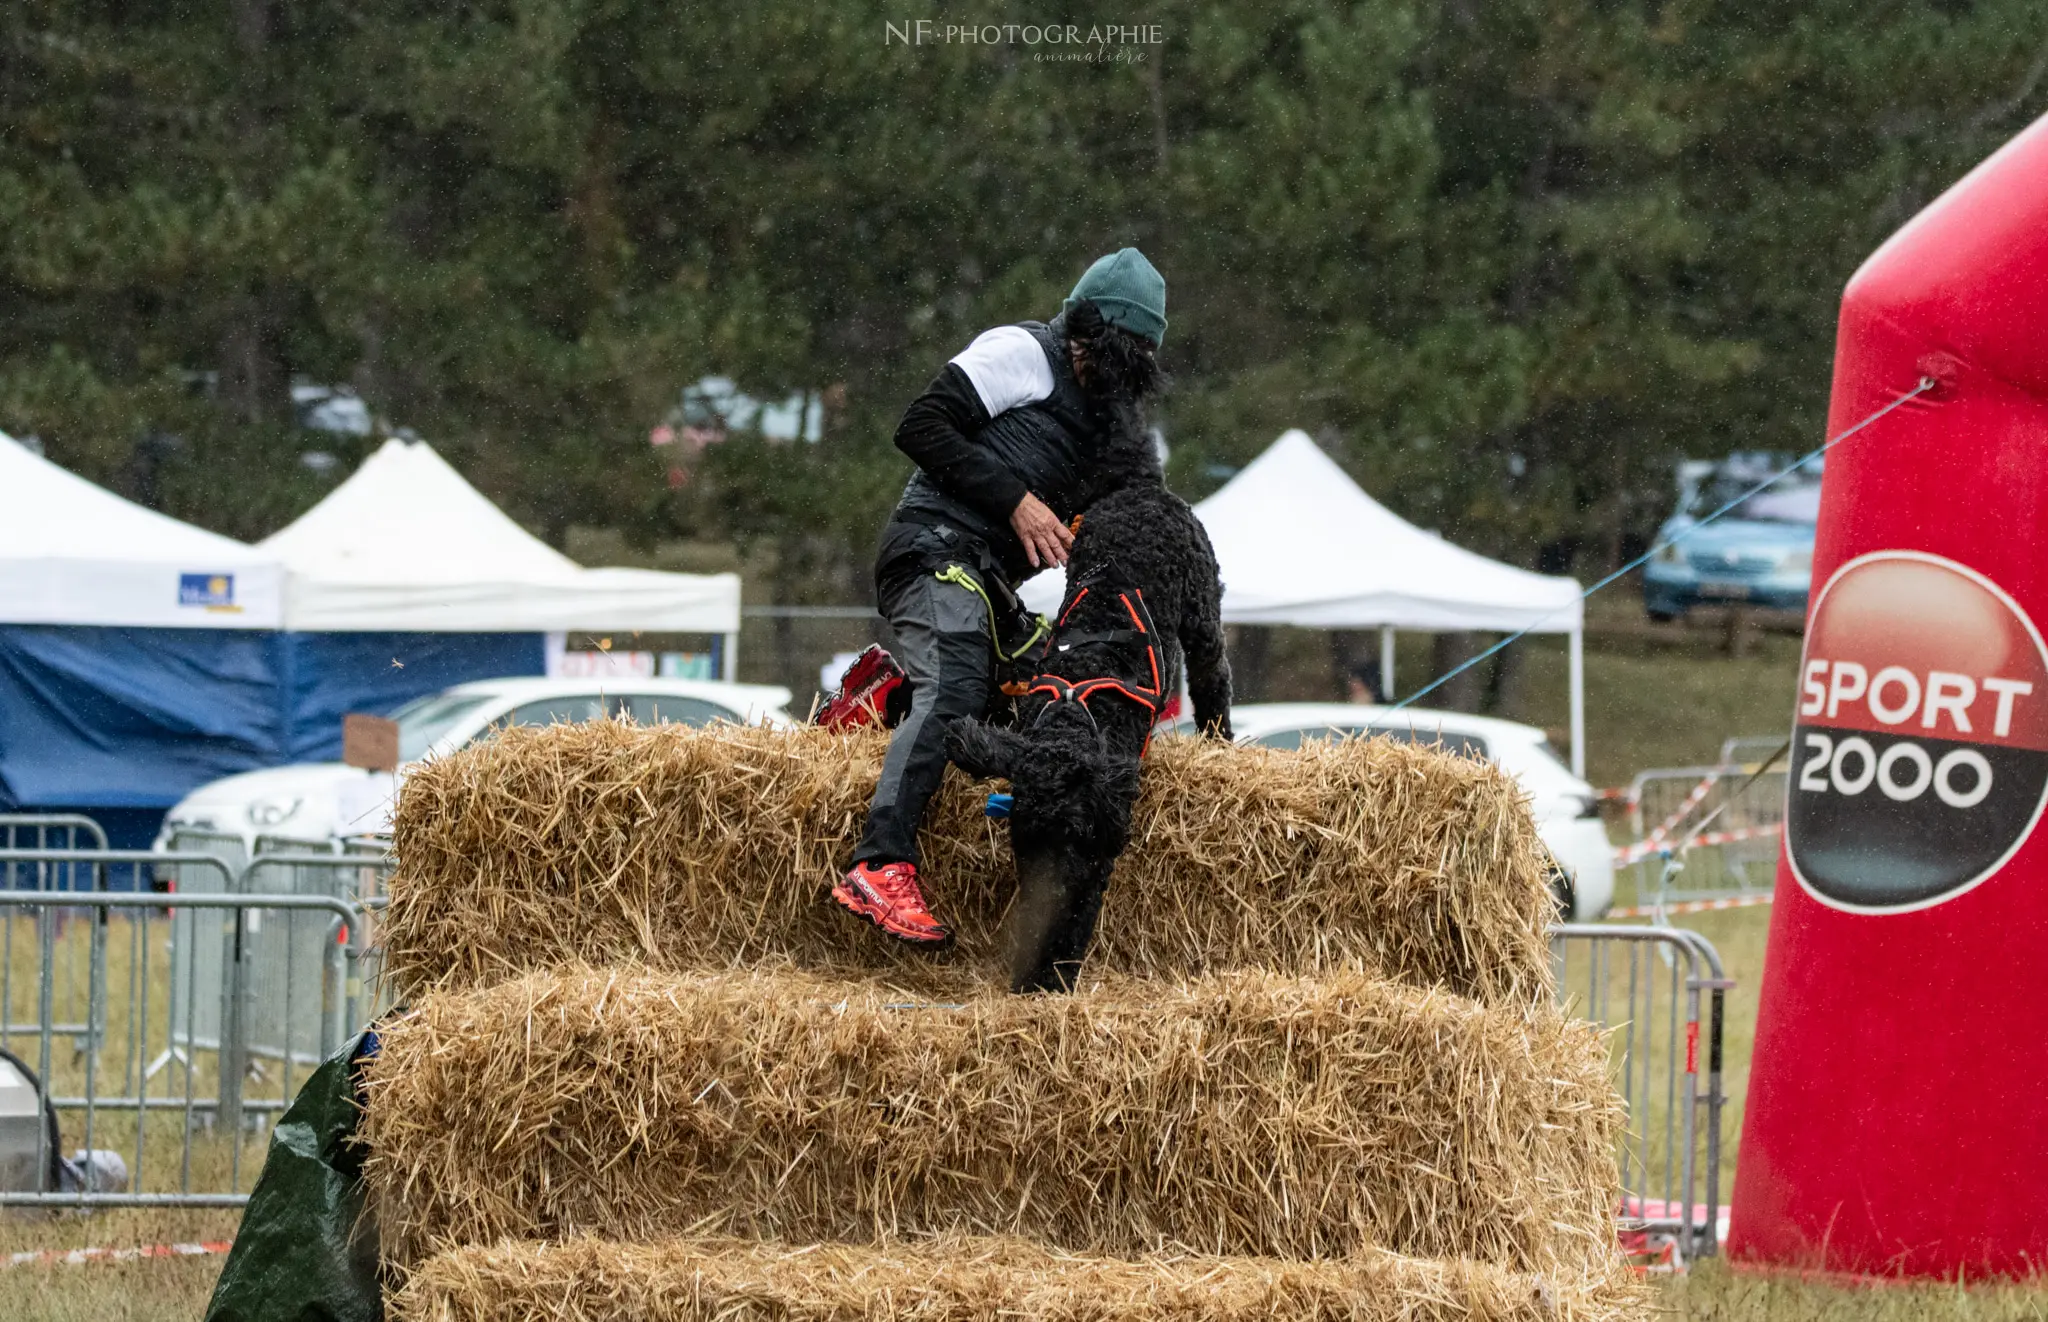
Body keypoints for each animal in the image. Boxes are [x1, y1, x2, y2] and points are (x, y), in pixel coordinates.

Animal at [946, 309, 1228, 994]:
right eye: (1024, 835)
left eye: (1075, 833)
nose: (1055, 877)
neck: (1075, 710)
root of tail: (1138, 487)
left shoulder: (1103, 840)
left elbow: (1080, 913)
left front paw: (1057, 971)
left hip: (1202, 606)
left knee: (1216, 673)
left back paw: (1221, 735)